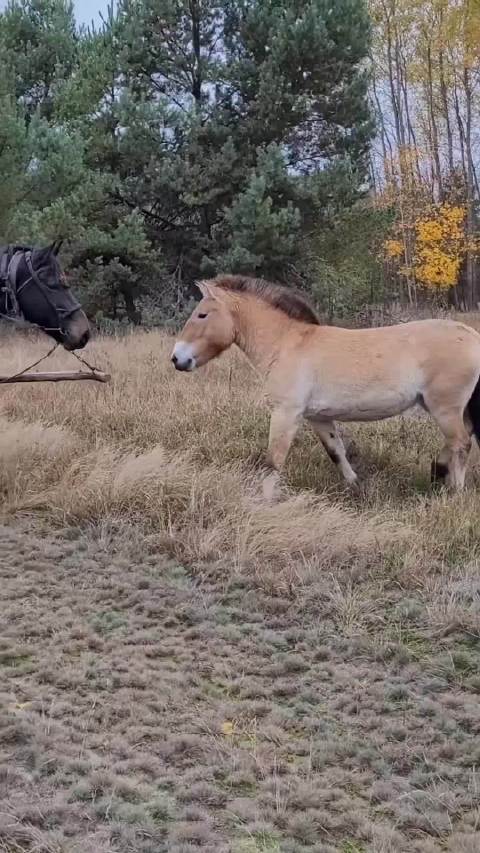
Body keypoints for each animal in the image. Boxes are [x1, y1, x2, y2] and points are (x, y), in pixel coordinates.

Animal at [171, 274, 480, 492]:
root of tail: (471, 335)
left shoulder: (286, 413)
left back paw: (454, 491)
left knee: (461, 443)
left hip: (445, 408)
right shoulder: (318, 417)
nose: (177, 358)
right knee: (457, 441)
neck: (286, 344)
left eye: (202, 314)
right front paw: (355, 485)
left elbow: (274, 461)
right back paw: (438, 473)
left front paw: (264, 501)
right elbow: (336, 452)